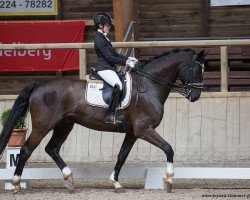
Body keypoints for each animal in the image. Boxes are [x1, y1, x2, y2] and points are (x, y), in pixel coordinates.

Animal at [0, 47, 207, 193]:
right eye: (196, 68)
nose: (195, 96)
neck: (150, 84)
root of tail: (38, 85)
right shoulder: (144, 129)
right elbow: (168, 148)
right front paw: (169, 179)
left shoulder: (133, 132)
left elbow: (122, 156)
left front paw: (116, 183)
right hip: (43, 125)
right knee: (26, 150)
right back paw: (16, 184)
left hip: (65, 125)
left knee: (52, 149)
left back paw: (69, 180)